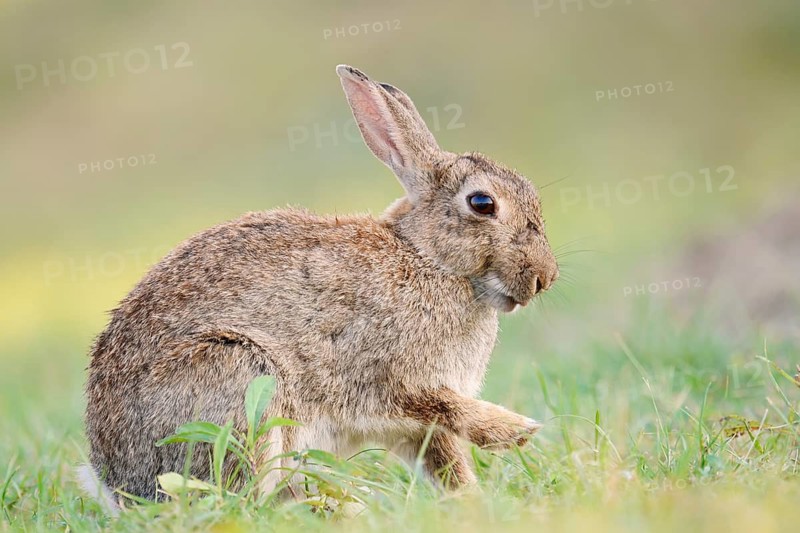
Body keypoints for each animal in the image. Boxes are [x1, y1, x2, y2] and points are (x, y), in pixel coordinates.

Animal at [79, 64, 559, 508]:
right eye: (482, 203)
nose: (545, 276)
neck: (427, 258)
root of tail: (120, 484)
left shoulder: (418, 422)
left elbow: (447, 462)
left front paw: (477, 501)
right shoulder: (389, 379)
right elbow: (445, 409)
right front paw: (518, 431)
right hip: (239, 374)